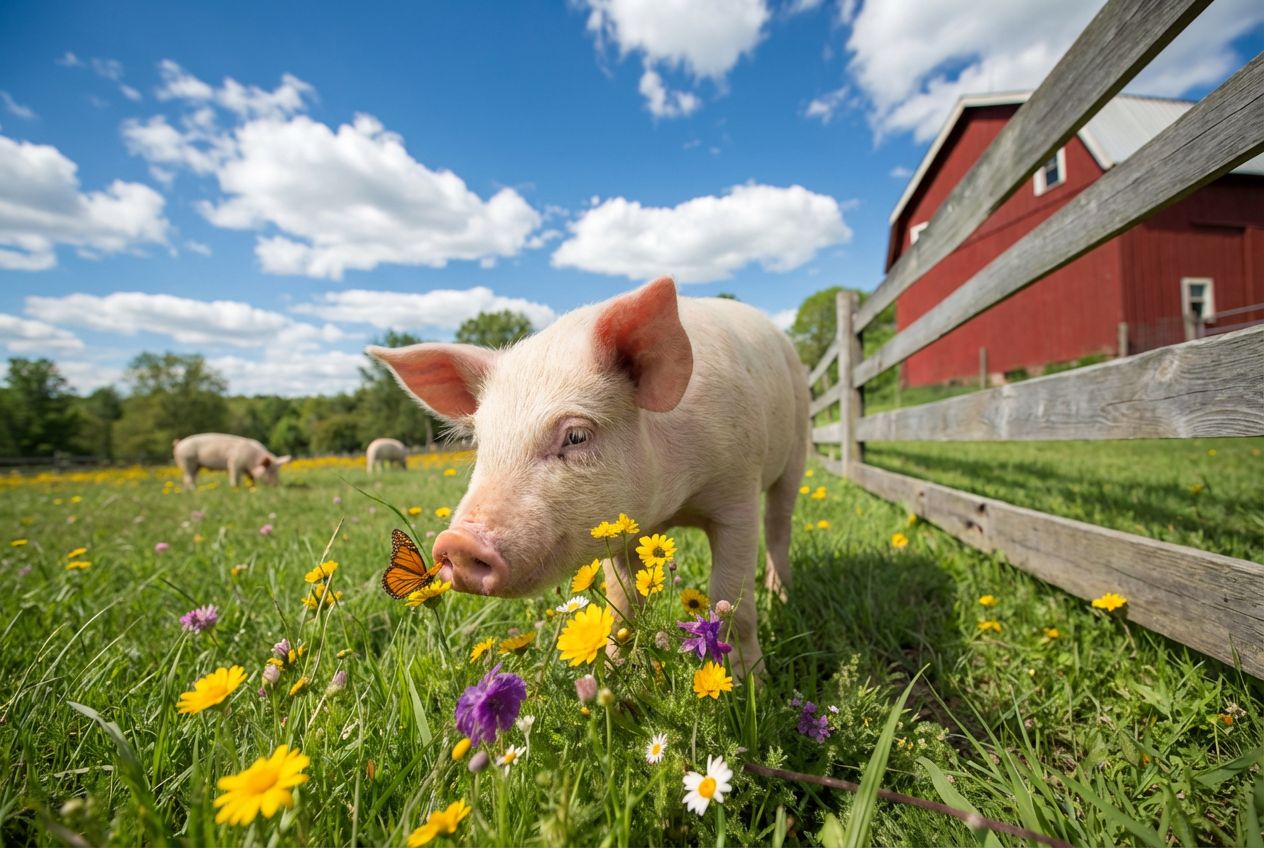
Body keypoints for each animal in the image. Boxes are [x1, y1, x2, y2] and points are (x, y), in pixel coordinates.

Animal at [367, 277, 808, 677]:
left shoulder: (738, 494)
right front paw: (613, 672)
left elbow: (732, 602)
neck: (673, 507)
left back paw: (784, 597)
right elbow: (622, 602)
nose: (456, 542)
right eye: (479, 441)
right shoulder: (615, 528)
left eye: (577, 435)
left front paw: (748, 684)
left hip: (797, 449)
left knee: (779, 526)